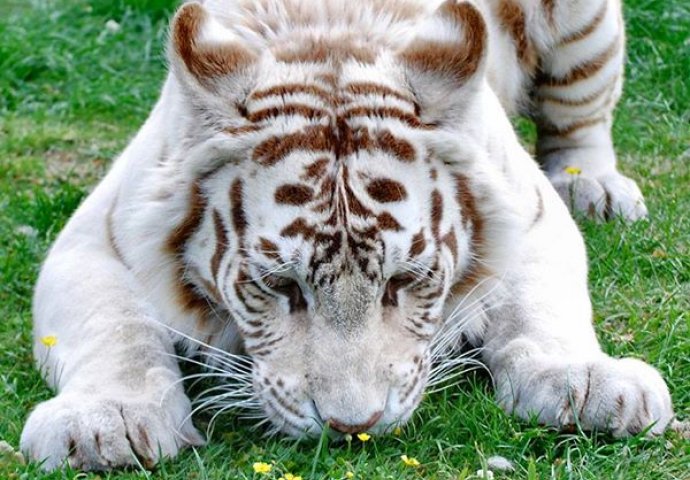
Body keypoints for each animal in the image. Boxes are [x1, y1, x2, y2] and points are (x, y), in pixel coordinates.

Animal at [22, 0, 672, 470]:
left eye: (404, 281)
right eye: (279, 285)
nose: (352, 426)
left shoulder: (532, 214)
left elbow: (541, 308)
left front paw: (586, 383)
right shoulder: (94, 239)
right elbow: (116, 328)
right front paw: (106, 422)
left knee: (582, 122)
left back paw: (598, 189)